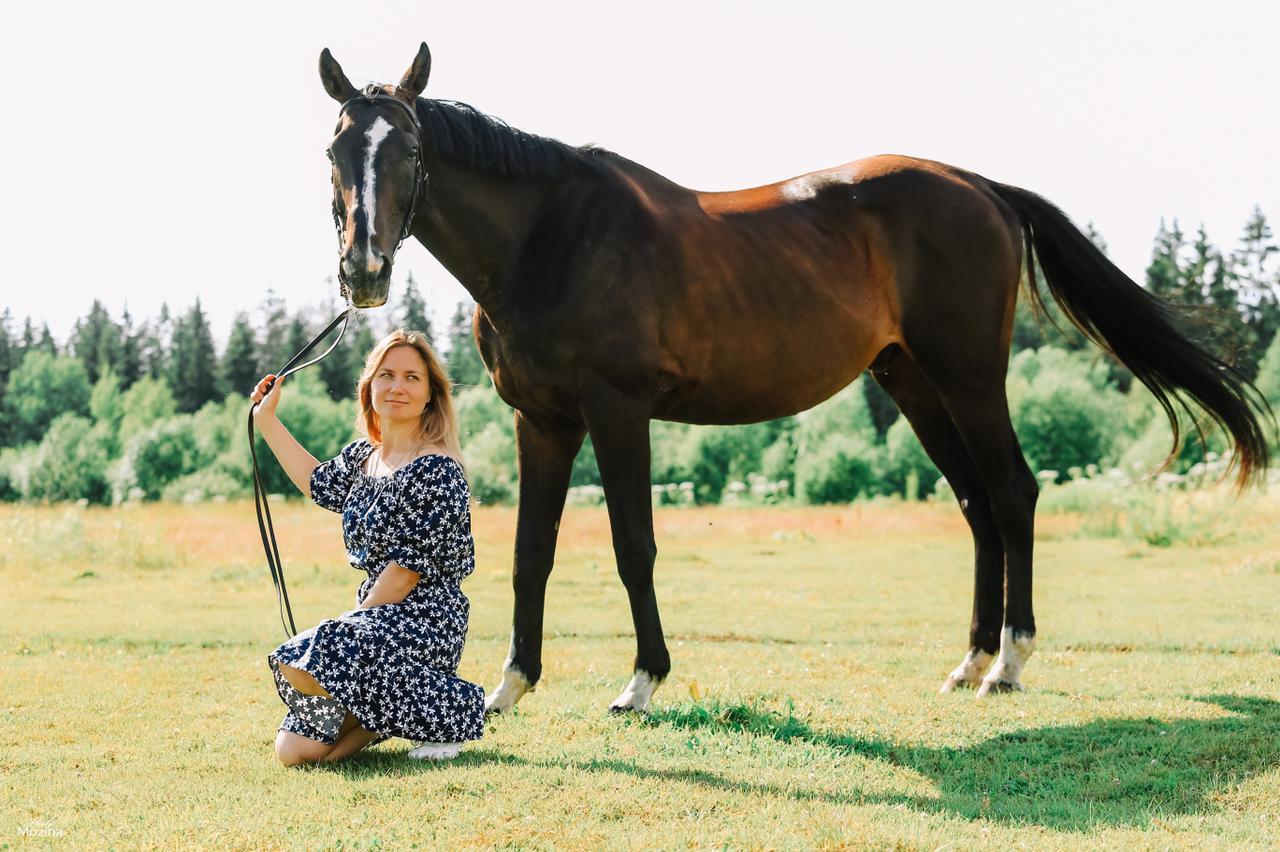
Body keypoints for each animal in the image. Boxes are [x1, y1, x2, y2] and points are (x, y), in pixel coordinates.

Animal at [317, 44, 1269, 711]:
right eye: (333, 148)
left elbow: (632, 545)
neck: (552, 238)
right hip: (913, 383)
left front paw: (642, 681)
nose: (363, 270)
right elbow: (531, 553)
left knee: (1012, 493)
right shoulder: (541, 419)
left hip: (968, 378)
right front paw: (511, 685)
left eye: (408, 147)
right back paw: (967, 662)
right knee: (975, 505)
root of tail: (982, 188)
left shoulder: (618, 413)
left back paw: (1009, 661)